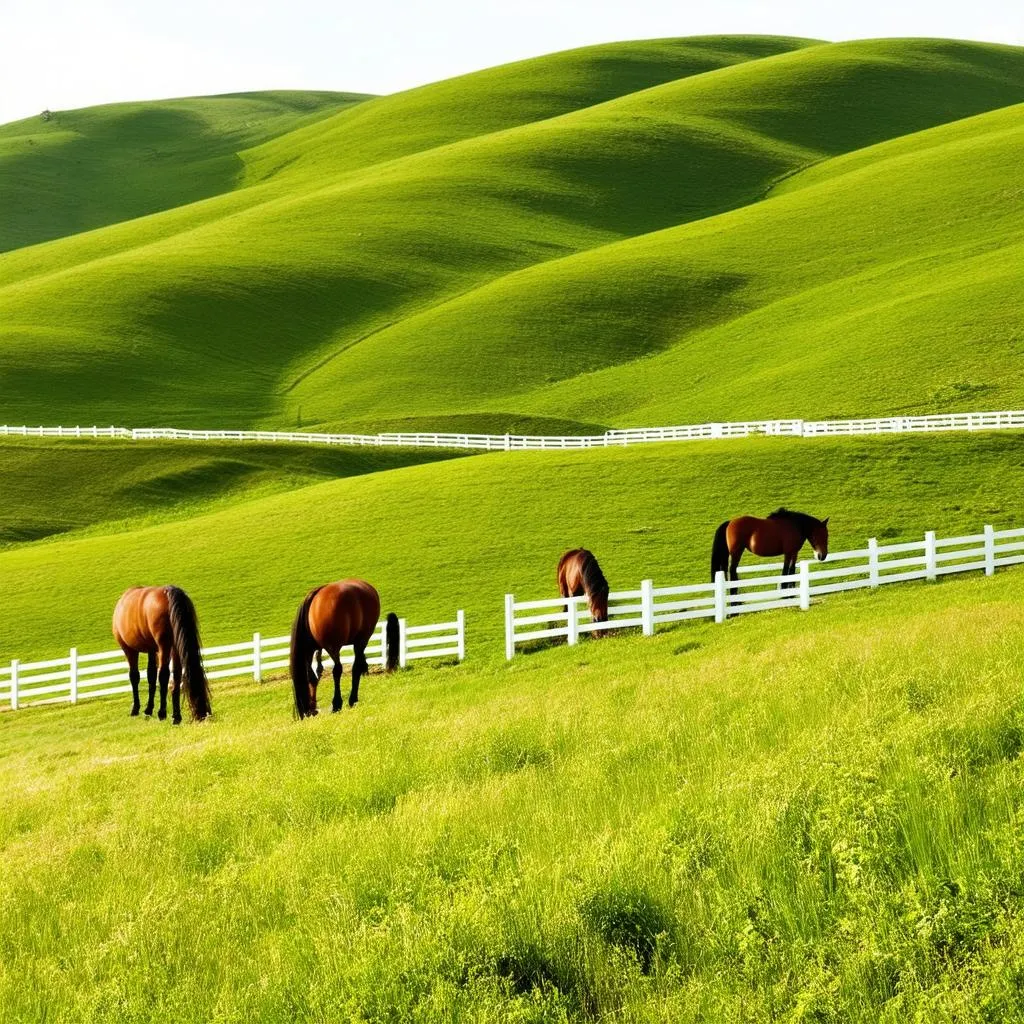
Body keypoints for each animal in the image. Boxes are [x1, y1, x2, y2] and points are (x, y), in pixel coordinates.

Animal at [112, 589, 211, 724]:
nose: (202, 715)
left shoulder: (129, 649)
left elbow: (135, 676)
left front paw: (136, 709)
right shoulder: (154, 649)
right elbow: (152, 676)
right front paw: (149, 710)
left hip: (163, 646)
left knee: (163, 674)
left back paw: (162, 713)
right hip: (172, 647)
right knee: (174, 675)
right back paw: (175, 716)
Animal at [292, 577, 399, 720]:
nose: (307, 712)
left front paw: (335, 704)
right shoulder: (313, 650)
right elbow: (313, 676)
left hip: (350, 643)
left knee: (345, 669)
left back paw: (346, 701)